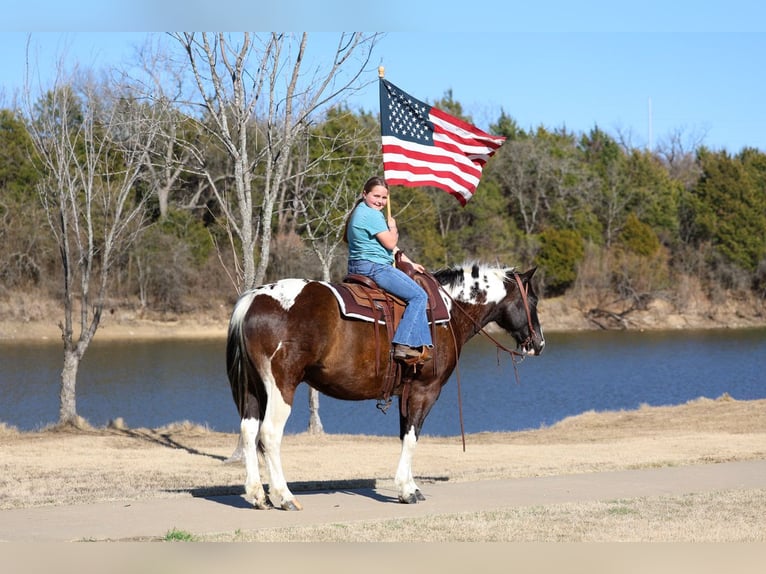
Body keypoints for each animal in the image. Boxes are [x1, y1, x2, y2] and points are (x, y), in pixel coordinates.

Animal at [225, 262, 545, 510]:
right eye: (533, 302)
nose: (539, 344)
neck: (448, 312)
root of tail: (253, 299)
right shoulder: (425, 390)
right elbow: (413, 437)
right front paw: (408, 490)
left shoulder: (406, 392)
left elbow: (405, 435)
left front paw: (408, 486)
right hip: (281, 387)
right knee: (269, 434)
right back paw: (284, 496)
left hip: (253, 389)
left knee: (249, 430)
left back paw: (258, 495)